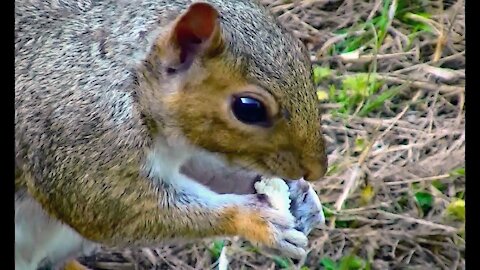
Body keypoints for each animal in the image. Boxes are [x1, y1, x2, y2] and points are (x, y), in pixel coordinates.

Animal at [16, 0, 328, 268]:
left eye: (304, 55)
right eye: (249, 108)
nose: (316, 170)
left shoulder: (189, 146)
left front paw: (302, 198)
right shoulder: (81, 141)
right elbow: (120, 212)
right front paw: (258, 221)